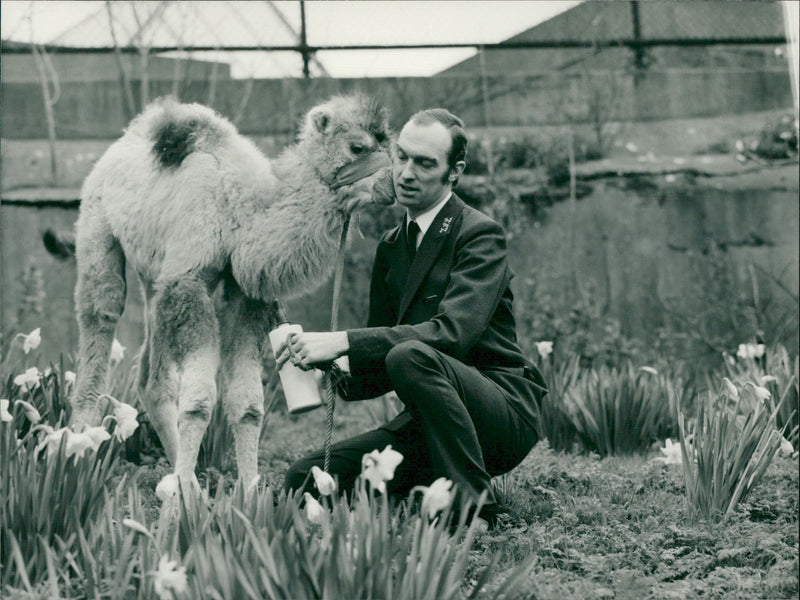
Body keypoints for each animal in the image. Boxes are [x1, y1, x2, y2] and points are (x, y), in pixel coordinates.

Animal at [72, 94, 394, 490]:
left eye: (388, 143)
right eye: (358, 146)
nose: (392, 184)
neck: (241, 211)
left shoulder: (243, 294)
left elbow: (247, 403)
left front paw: (248, 496)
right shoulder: (189, 278)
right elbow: (199, 400)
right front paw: (182, 501)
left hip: (155, 276)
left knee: (151, 377)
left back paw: (186, 482)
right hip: (97, 226)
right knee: (101, 314)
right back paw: (74, 456)